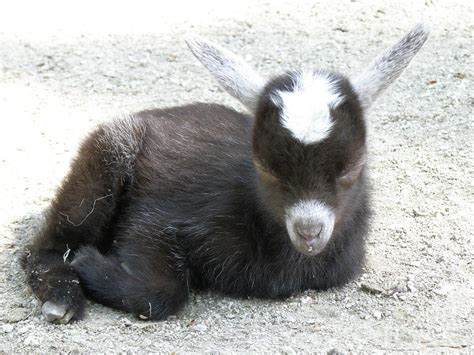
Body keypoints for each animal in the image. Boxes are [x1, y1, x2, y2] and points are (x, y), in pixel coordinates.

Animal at [21, 25, 430, 326]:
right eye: (266, 168)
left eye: (350, 169)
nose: (309, 232)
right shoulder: (154, 218)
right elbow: (162, 292)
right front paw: (87, 262)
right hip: (107, 157)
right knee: (44, 245)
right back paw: (62, 297)